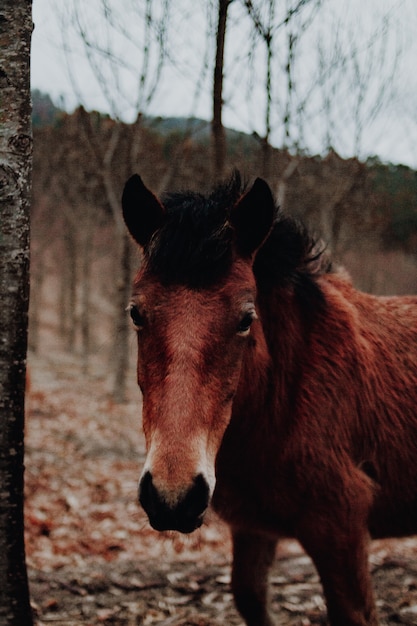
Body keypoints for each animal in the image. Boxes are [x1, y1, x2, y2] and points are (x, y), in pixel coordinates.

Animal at [120, 172, 416, 624]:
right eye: (136, 312)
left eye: (246, 318)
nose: (173, 498)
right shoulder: (253, 530)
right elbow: (250, 598)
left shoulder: (342, 533)